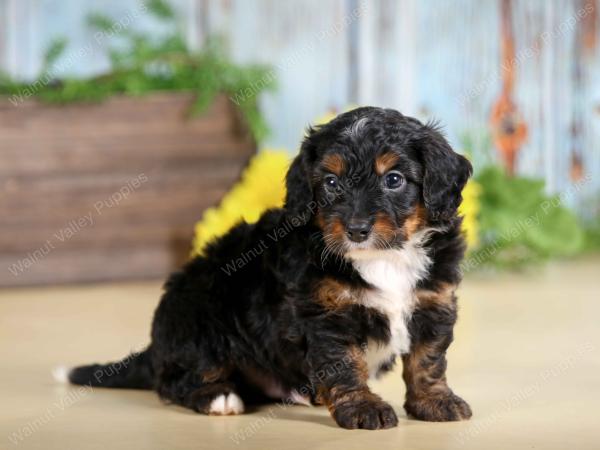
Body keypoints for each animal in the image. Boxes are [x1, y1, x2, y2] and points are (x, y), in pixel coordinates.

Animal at [68, 106, 474, 428]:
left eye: (394, 180)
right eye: (331, 182)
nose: (357, 230)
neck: (382, 258)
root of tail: (155, 346)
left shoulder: (433, 303)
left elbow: (427, 359)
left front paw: (434, 401)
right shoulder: (327, 316)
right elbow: (344, 362)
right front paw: (362, 408)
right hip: (202, 320)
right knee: (176, 380)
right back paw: (218, 397)